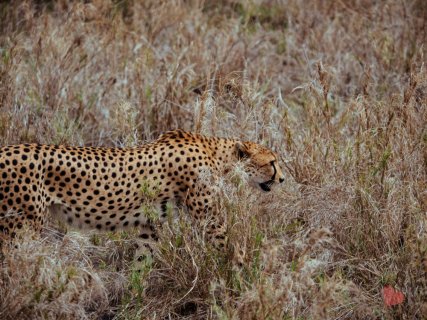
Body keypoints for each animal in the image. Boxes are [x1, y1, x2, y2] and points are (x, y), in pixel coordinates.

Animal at [0, 129, 288, 251]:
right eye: (272, 162)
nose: (283, 179)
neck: (214, 152)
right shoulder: (208, 218)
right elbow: (225, 246)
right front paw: (238, 279)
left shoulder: (152, 223)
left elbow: (143, 258)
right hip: (20, 228)